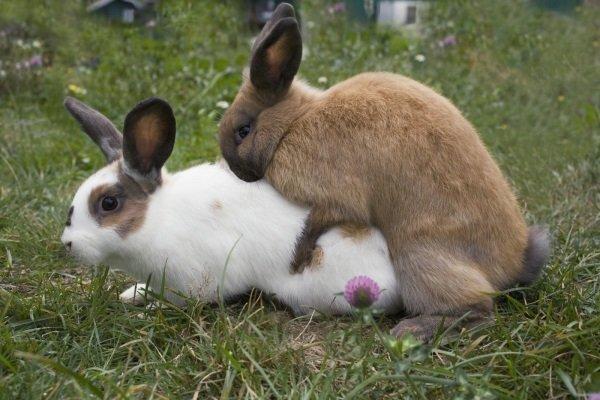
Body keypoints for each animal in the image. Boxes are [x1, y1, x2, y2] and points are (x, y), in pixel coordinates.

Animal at [218, 3, 552, 340]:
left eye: (243, 131)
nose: (236, 171)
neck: (291, 126)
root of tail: (513, 265)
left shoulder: (335, 195)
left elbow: (320, 219)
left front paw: (299, 256)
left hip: (418, 255)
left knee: (477, 310)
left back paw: (412, 330)